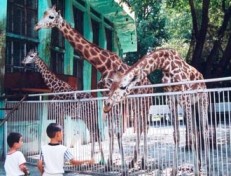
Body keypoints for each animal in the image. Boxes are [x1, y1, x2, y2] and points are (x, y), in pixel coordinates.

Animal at [34, 4, 152, 170]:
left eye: (51, 16)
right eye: (44, 13)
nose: (36, 26)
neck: (103, 65)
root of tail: (150, 83)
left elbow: (116, 131)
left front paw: (120, 163)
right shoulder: (104, 95)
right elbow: (110, 130)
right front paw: (108, 163)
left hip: (145, 102)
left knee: (144, 127)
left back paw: (143, 162)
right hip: (134, 104)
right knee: (140, 126)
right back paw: (134, 161)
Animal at [104, 47, 214, 175]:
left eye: (123, 87)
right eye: (110, 87)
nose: (106, 105)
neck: (167, 66)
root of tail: (202, 78)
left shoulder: (185, 97)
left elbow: (191, 135)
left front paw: (196, 172)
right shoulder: (171, 99)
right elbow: (176, 135)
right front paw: (174, 171)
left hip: (203, 101)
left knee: (204, 130)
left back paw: (208, 168)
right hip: (193, 105)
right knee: (197, 130)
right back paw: (200, 165)